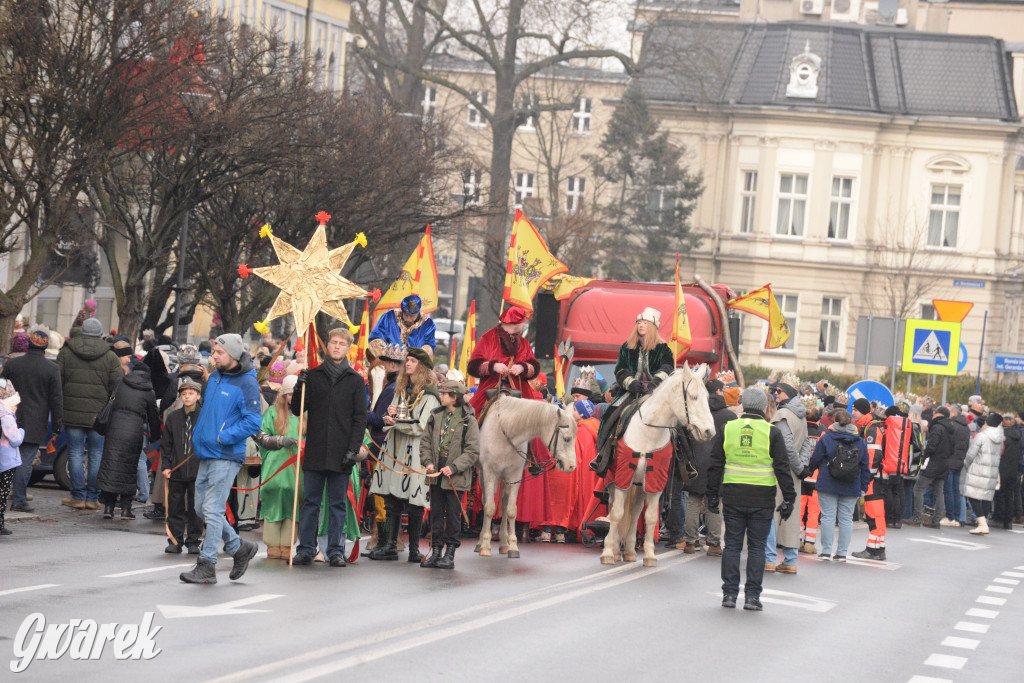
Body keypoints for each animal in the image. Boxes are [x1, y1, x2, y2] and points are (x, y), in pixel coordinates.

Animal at [475, 395, 581, 561]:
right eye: (567, 438)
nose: (571, 466)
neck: (505, 432)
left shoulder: (515, 474)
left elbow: (511, 510)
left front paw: (513, 546)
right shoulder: (490, 472)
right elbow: (489, 508)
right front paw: (485, 545)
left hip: (505, 478)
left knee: (503, 504)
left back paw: (504, 543)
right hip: (484, 475)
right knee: (486, 500)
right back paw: (480, 542)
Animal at [598, 366, 712, 569]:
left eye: (707, 397)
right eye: (693, 396)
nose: (709, 431)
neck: (647, 432)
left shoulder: (655, 482)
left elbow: (650, 517)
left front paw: (650, 555)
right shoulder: (622, 478)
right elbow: (617, 513)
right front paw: (608, 552)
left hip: (639, 485)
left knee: (635, 512)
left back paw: (629, 551)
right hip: (614, 482)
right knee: (613, 507)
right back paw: (615, 548)